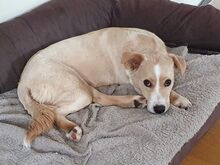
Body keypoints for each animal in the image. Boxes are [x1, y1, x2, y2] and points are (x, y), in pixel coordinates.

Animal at [18, 27, 192, 148]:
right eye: (146, 83)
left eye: (168, 82)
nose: (159, 109)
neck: (145, 47)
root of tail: (23, 81)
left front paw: (179, 99)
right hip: (78, 87)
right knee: (58, 111)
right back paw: (72, 129)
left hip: (81, 84)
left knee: (97, 97)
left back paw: (133, 101)